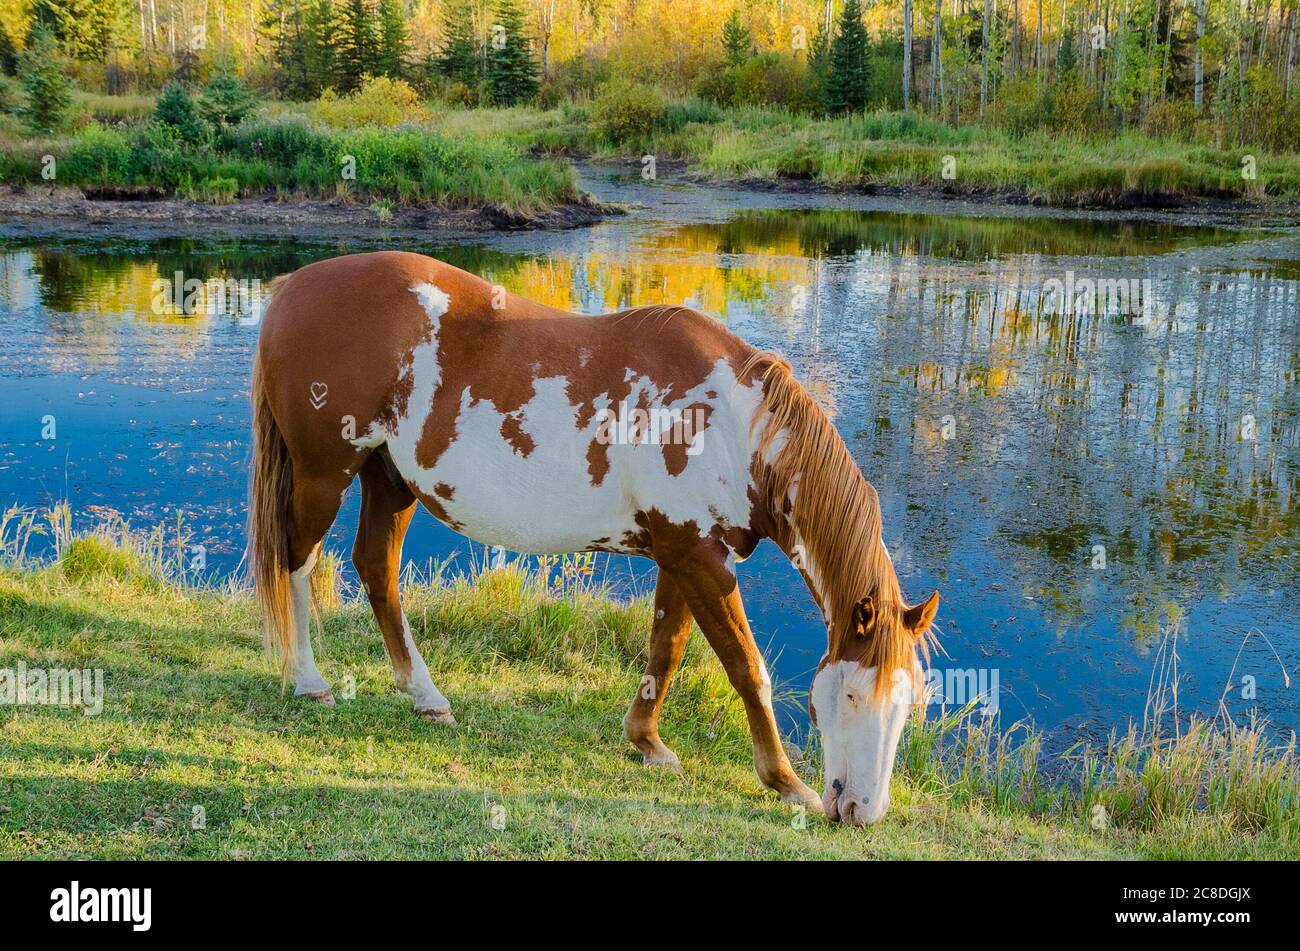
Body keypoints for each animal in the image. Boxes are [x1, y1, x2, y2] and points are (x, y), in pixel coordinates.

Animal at [245, 252, 935, 826]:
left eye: (907, 706)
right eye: (851, 694)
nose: (863, 811)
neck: (734, 426)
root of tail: (292, 287)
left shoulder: (682, 555)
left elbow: (666, 650)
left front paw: (647, 742)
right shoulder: (700, 560)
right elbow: (746, 668)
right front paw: (786, 782)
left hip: (390, 480)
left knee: (376, 571)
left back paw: (426, 697)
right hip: (323, 475)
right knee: (297, 562)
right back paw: (309, 681)